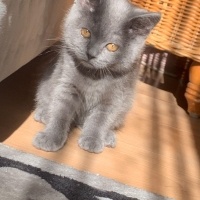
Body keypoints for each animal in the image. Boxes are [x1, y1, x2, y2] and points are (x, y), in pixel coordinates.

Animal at [33, 0, 161, 153]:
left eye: (112, 47)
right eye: (85, 32)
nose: (91, 54)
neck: (94, 75)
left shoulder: (114, 97)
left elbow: (100, 119)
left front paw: (92, 140)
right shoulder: (67, 84)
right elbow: (60, 111)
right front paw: (51, 137)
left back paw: (108, 136)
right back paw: (43, 114)